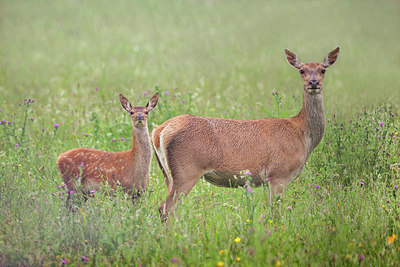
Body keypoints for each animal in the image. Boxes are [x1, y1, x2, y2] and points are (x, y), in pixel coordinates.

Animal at [152, 48, 340, 220]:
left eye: (323, 69)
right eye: (302, 70)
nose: (313, 82)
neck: (303, 134)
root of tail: (159, 131)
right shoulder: (278, 173)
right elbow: (276, 213)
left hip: (168, 174)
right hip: (186, 170)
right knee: (166, 208)